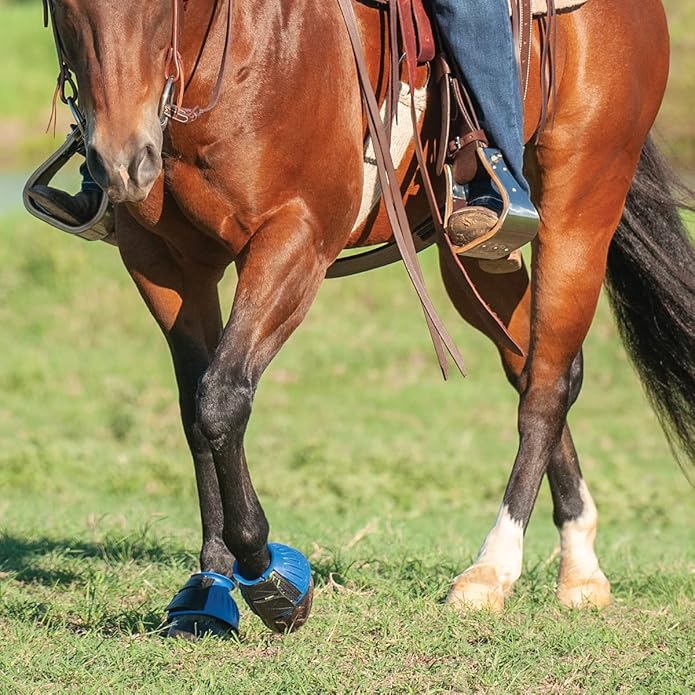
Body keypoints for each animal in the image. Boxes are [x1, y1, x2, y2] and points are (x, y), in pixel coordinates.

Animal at [42, 0, 694, 638]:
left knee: (547, 386)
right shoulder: (162, 262)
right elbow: (195, 413)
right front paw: (209, 586)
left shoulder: (295, 240)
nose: (123, 161)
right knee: (537, 365)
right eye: (67, 6)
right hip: (476, 253)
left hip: (582, 199)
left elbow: (221, 399)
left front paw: (270, 579)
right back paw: (581, 565)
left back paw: (491, 571)